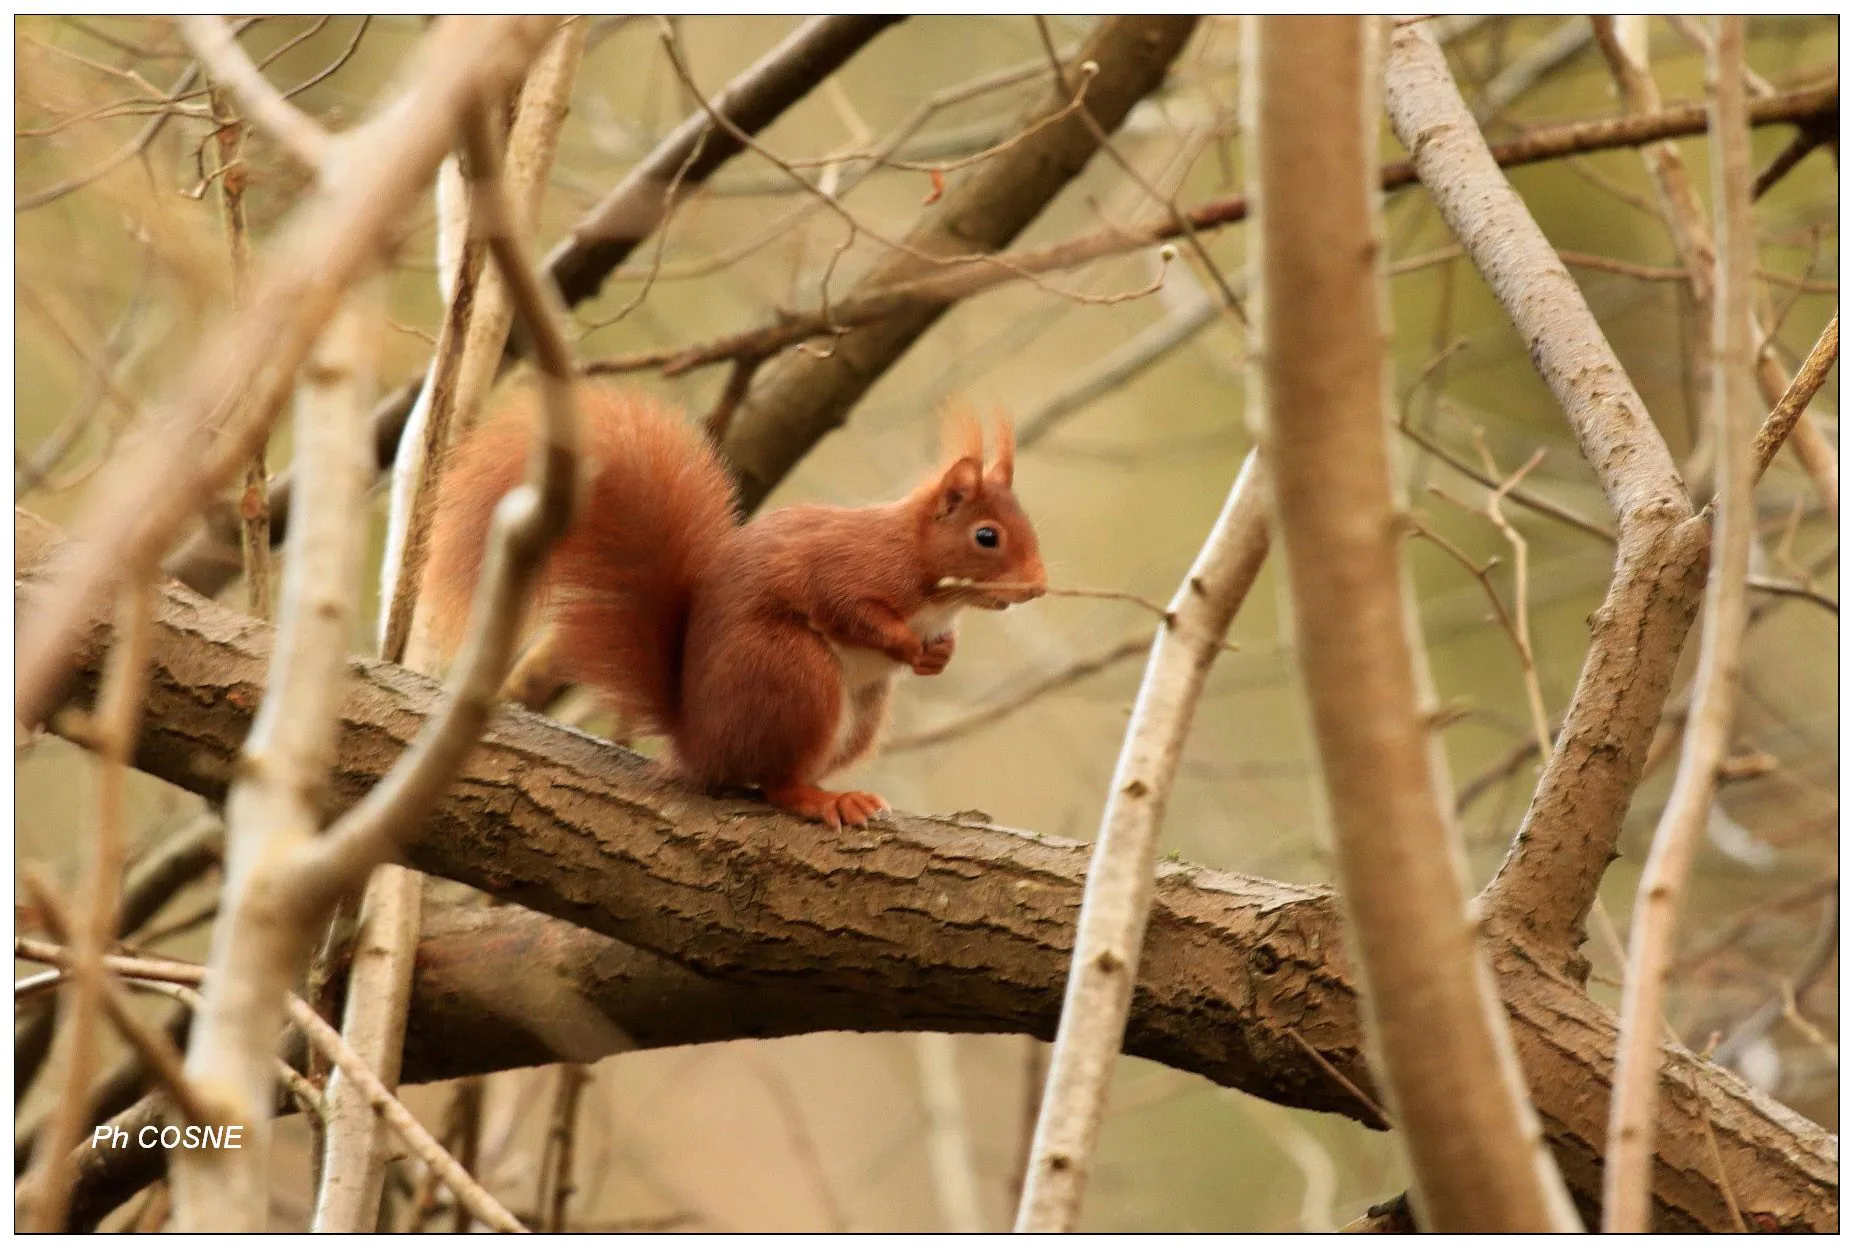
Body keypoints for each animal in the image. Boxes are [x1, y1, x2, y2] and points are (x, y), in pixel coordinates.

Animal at [424, 383, 1053, 822]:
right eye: (987, 536)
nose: (1039, 587)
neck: (924, 569)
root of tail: (698, 744)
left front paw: (938, 654)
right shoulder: (848, 569)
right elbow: (851, 610)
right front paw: (904, 642)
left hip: (859, 712)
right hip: (794, 674)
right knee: (774, 782)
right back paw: (822, 800)